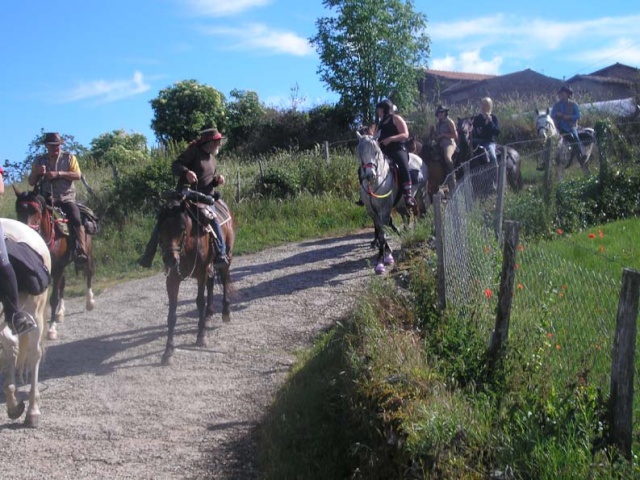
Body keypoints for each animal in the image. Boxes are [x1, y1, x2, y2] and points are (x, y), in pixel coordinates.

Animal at [12, 186, 96, 340]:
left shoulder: (57, 268)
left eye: (35, 210)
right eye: (18, 210)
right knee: (63, 284)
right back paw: (60, 312)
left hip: (87, 253)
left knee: (89, 272)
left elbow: (53, 299)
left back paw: (89, 302)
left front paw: (51, 329)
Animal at [155, 189, 235, 366]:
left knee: (224, 279)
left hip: (226, 256)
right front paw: (168, 351)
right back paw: (209, 315)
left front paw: (201, 337)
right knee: (211, 283)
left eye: (181, 228)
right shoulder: (172, 280)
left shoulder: (201, 273)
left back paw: (225, 312)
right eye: (160, 229)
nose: (170, 259)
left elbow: (199, 302)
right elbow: (172, 313)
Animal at [358, 132, 428, 274]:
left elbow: (383, 234)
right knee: (406, 217)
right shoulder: (372, 212)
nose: (370, 175)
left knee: (422, 213)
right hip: (401, 205)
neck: (376, 183)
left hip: (420, 196)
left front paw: (383, 260)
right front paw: (385, 254)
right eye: (360, 153)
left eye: (376, 152)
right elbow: (380, 232)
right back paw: (405, 237)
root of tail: (420, 159)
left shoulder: (385, 210)